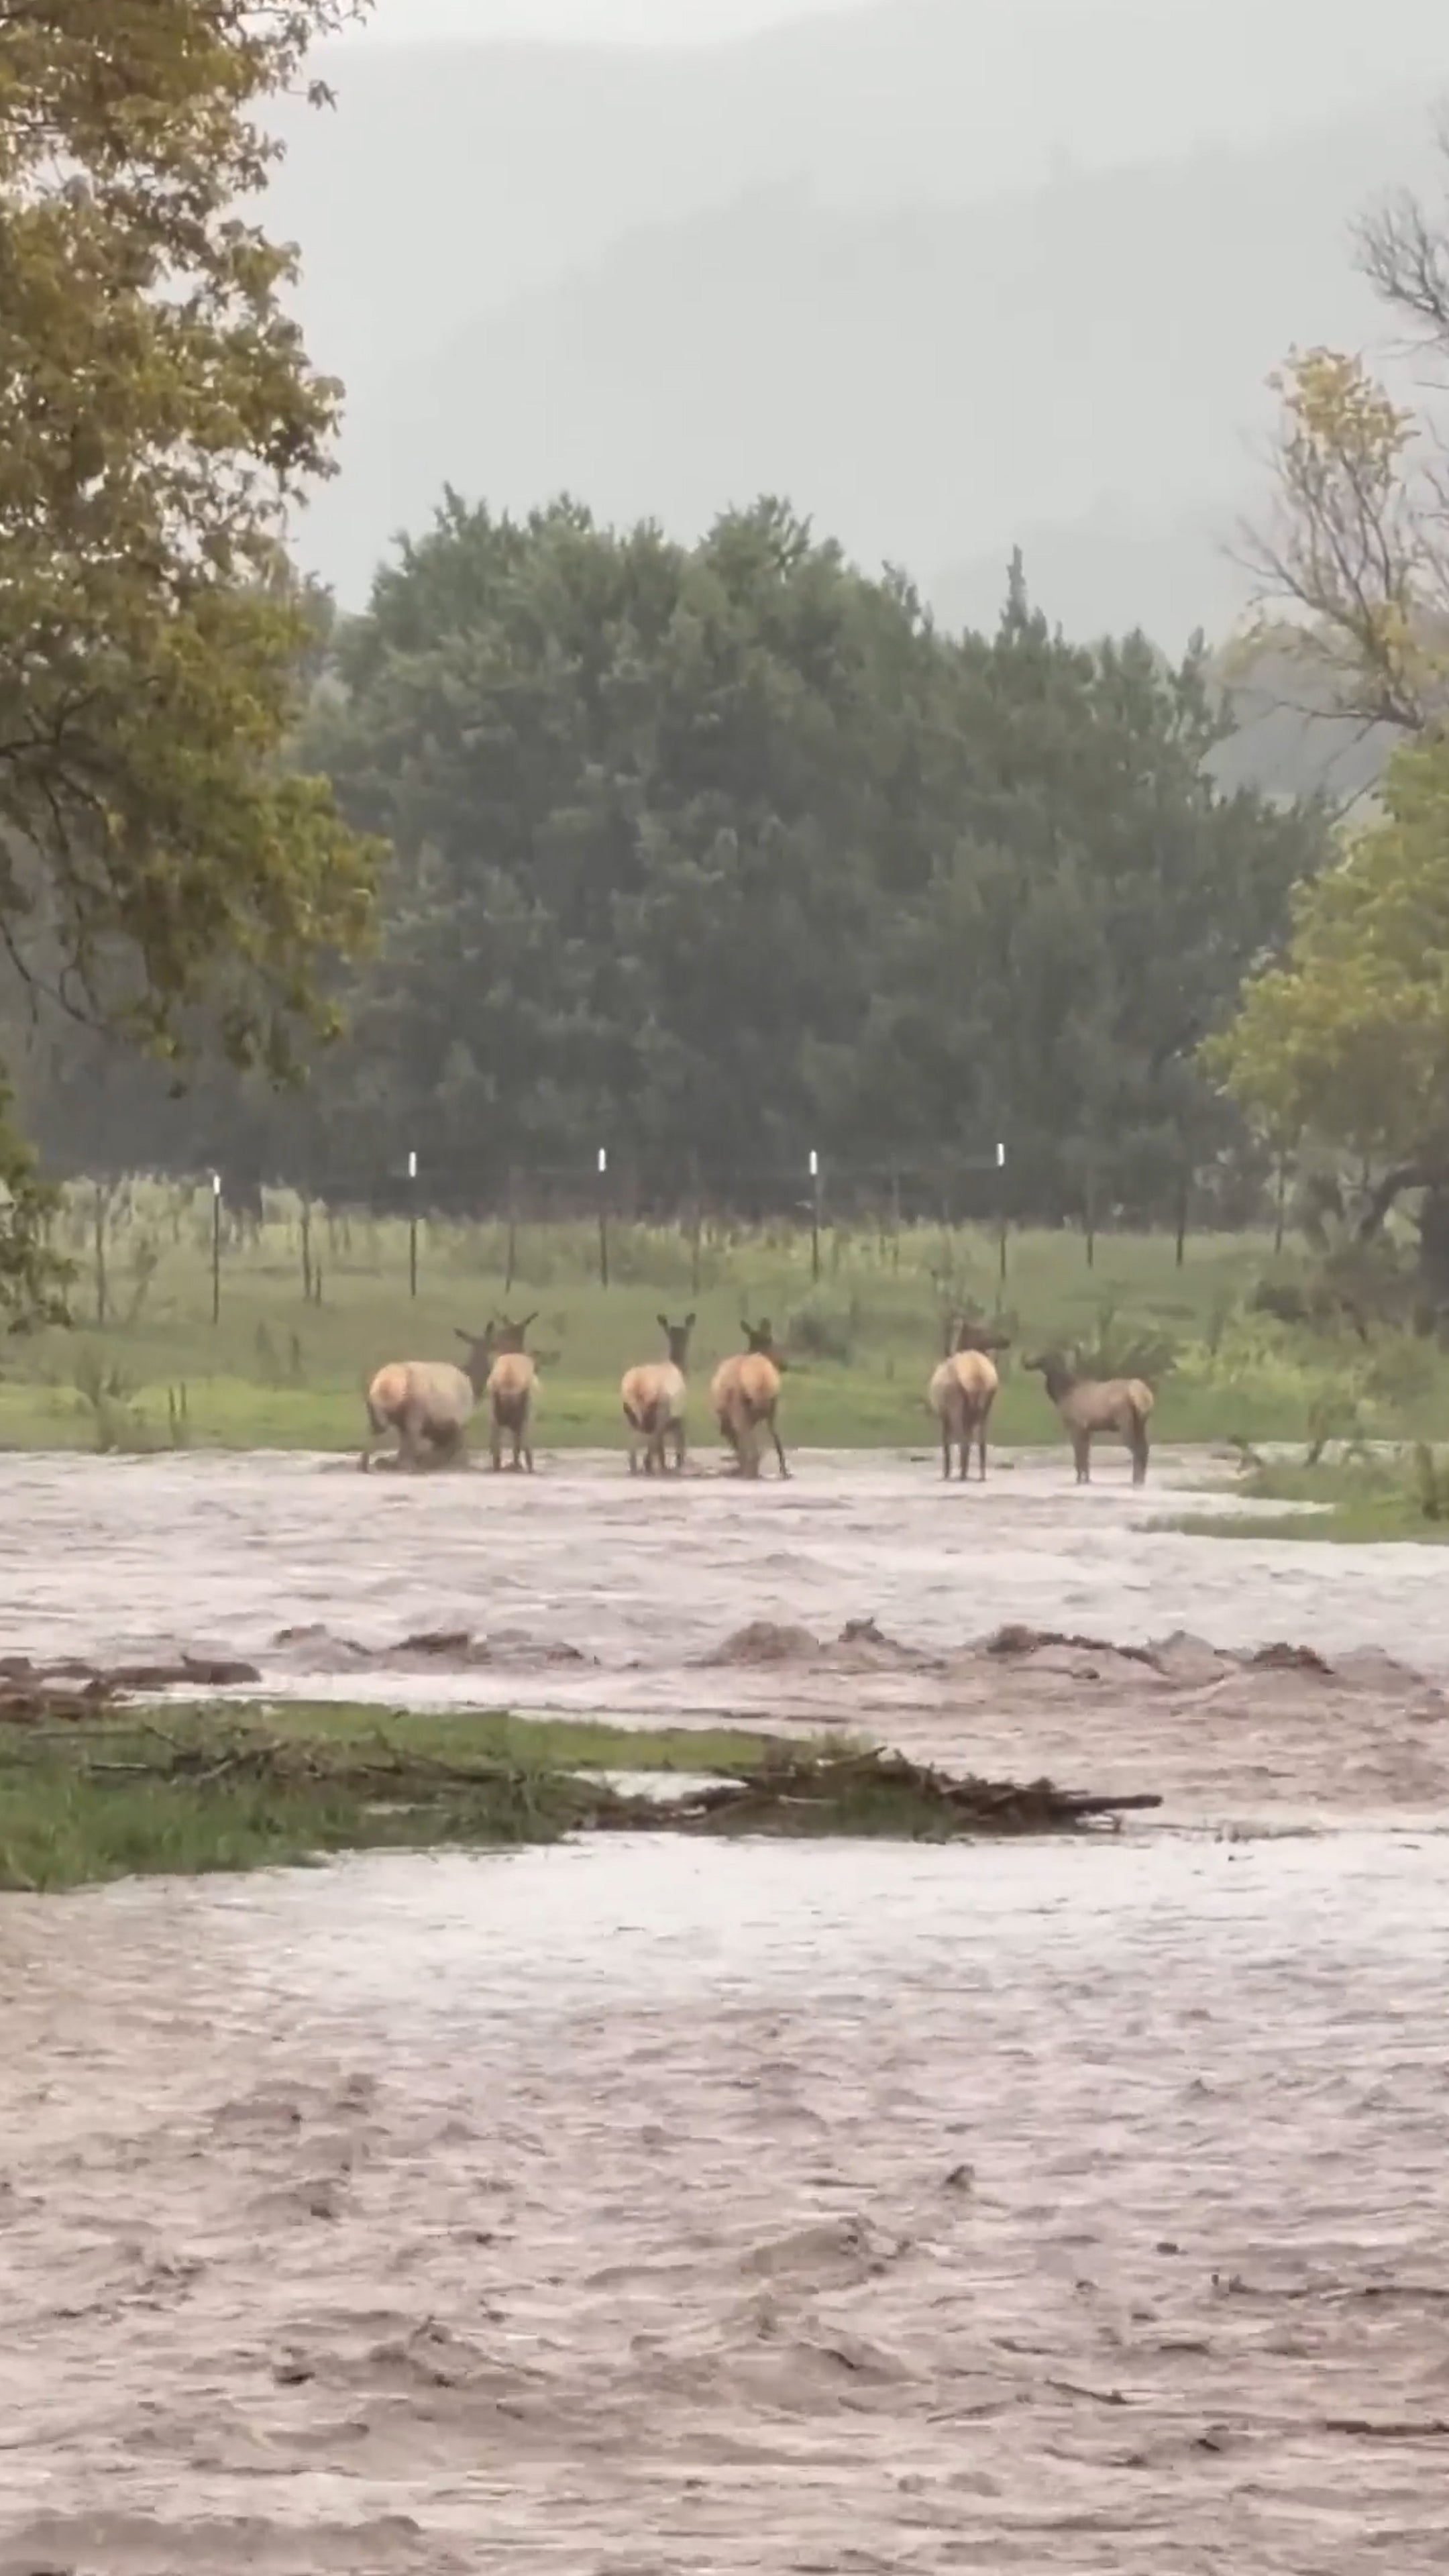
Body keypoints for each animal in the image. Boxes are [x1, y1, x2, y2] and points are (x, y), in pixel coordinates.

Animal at [620, 1312, 695, 1475]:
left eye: (684, 1332)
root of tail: (637, 1386)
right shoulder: (680, 1417)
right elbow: (677, 1447)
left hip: (629, 1413)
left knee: (634, 1445)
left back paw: (636, 1469)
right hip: (660, 1411)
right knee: (654, 1442)